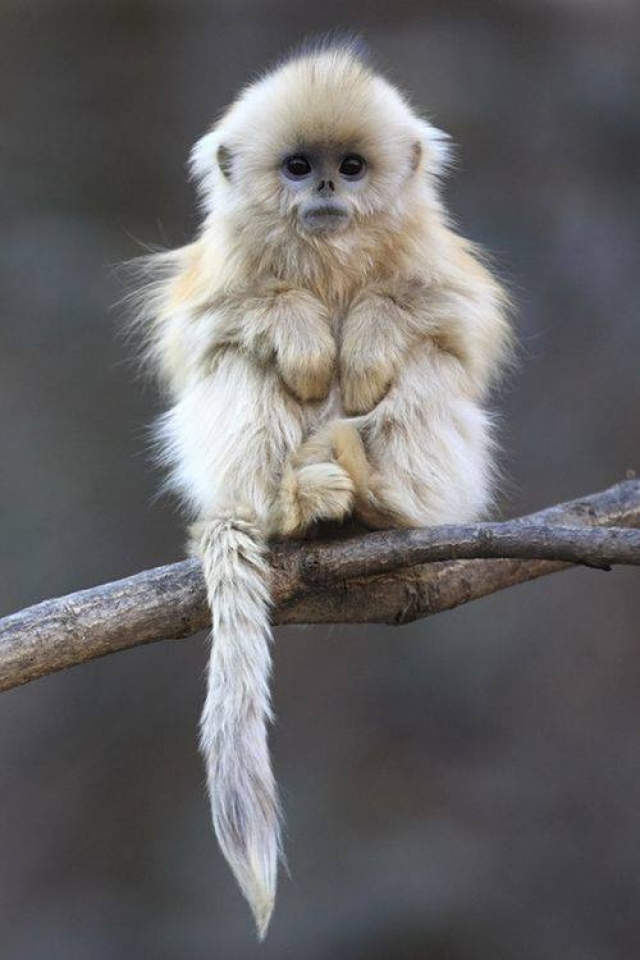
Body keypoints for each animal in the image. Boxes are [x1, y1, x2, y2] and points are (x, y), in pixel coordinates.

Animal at [133, 41, 511, 937]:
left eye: (352, 166)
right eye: (299, 167)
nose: (328, 192)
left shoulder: (436, 261)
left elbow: (458, 325)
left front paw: (367, 339)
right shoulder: (220, 271)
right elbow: (209, 330)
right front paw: (304, 334)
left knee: (429, 366)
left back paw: (378, 500)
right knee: (238, 363)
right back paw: (292, 505)